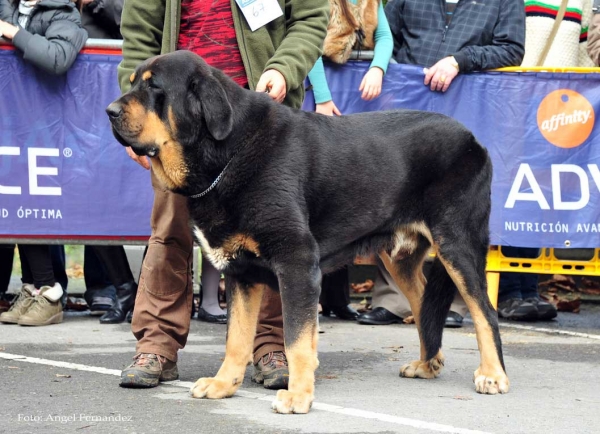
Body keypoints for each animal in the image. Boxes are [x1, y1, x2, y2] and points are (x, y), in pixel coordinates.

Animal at [105, 50, 508, 414]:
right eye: (132, 83)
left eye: (154, 87)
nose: (109, 110)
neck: (228, 153)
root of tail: (473, 138)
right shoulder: (241, 273)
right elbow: (236, 338)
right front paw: (224, 384)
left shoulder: (297, 262)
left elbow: (296, 340)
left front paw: (298, 396)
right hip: (401, 258)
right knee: (426, 305)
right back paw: (428, 363)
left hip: (456, 244)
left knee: (484, 311)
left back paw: (492, 374)